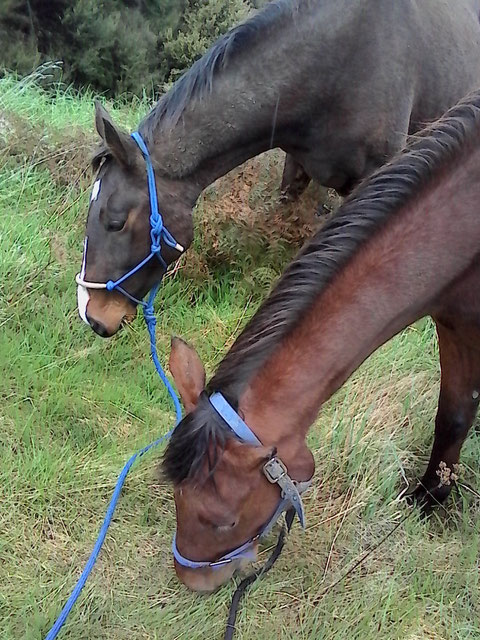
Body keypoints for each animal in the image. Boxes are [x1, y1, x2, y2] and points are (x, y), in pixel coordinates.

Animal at [162, 90, 480, 592]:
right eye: (175, 497)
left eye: (223, 521)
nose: (192, 583)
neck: (462, 221)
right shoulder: (454, 320)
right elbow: (453, 414)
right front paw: (429, 500)